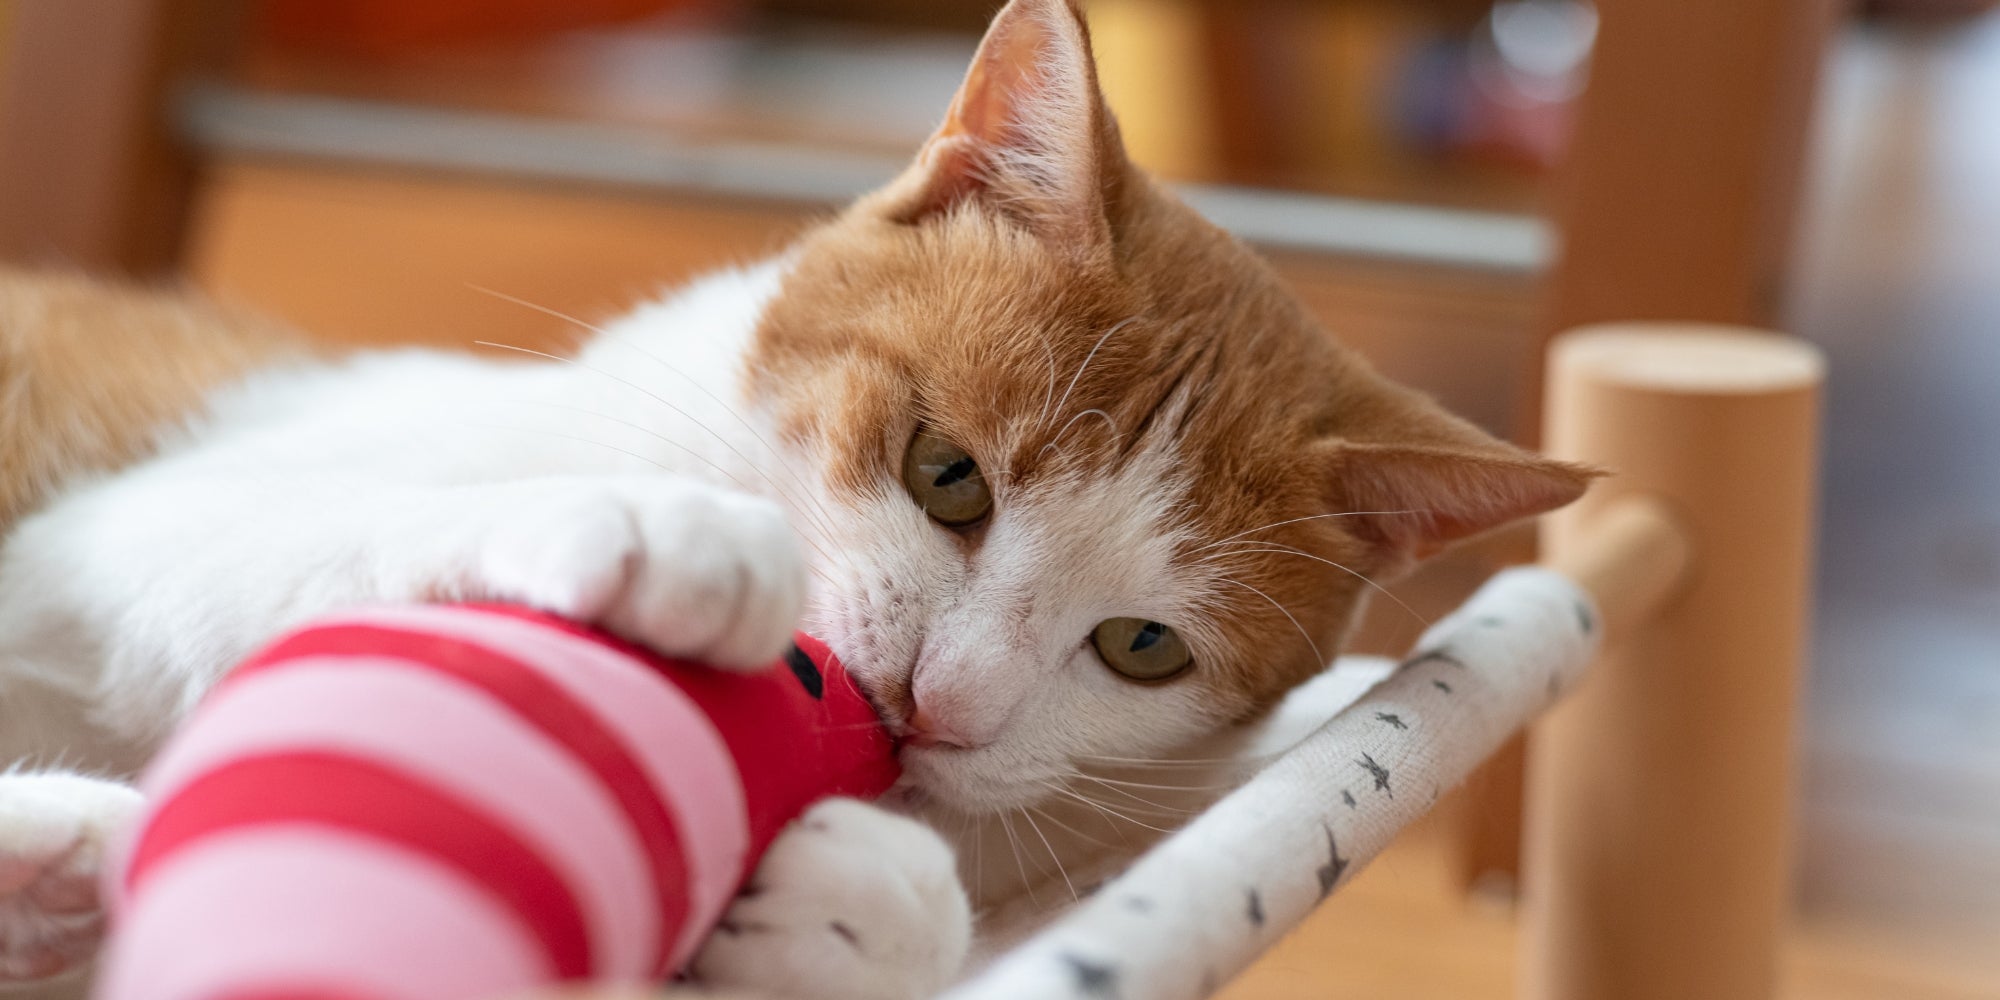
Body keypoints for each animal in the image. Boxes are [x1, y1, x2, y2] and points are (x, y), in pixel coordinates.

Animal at [0, 3, 1592, 996]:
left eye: (1142, 648)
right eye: (945, 475)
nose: (941, 703)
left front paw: (862, 903)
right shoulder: (110, 538)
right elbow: (276, 547)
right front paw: (645, 530)